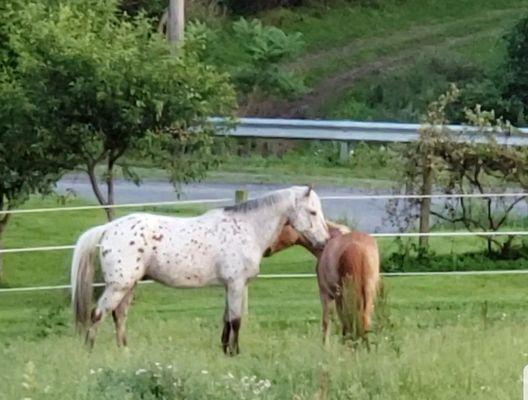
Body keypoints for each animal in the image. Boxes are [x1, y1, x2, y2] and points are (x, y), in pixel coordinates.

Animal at [69, 186, 326, 354]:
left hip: (128, 286)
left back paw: (124, 351)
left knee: (119, 316)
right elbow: (236, 320)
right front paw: (235, 352)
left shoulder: (231, 286)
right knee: (98, 314)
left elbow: (226, 319)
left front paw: (225, 350)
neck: (246, 228)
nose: (324, 242)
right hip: (119, 286)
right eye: (313, 212)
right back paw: (89, 351)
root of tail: (109, 227)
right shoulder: (236, 284)